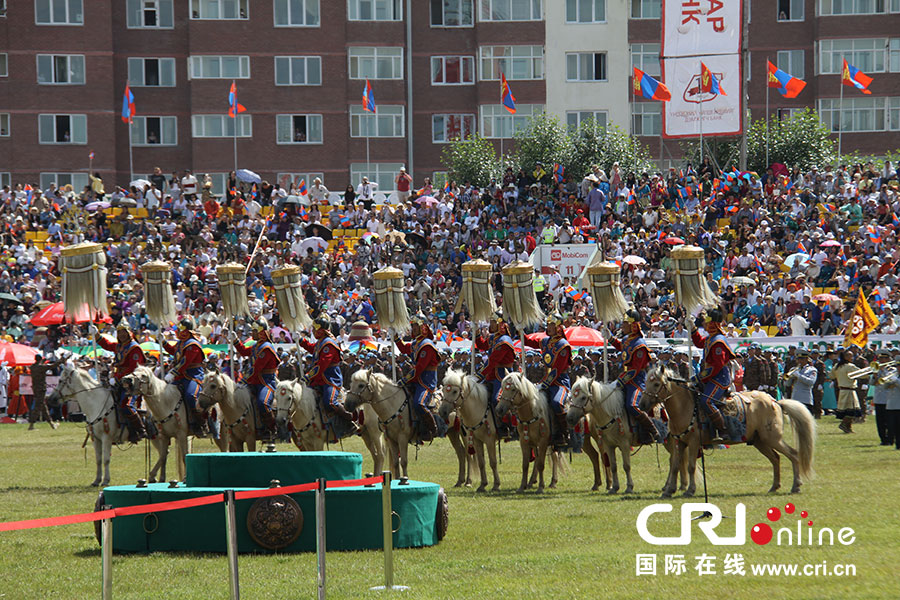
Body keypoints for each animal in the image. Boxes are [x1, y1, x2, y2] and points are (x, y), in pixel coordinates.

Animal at [640, 366, 816, 496]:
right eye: (646, 382)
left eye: (656, 384)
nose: (642, 405)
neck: (685, 406)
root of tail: (775, 401)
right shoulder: (679, 442)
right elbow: (676, 465)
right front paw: (669, 491)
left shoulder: (694, 442)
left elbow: (690, 466)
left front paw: (690, 490)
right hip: (760, 441)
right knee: (776, 458)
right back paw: (774, 487)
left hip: (773, 438)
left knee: (793, 454)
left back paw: (796, 486)